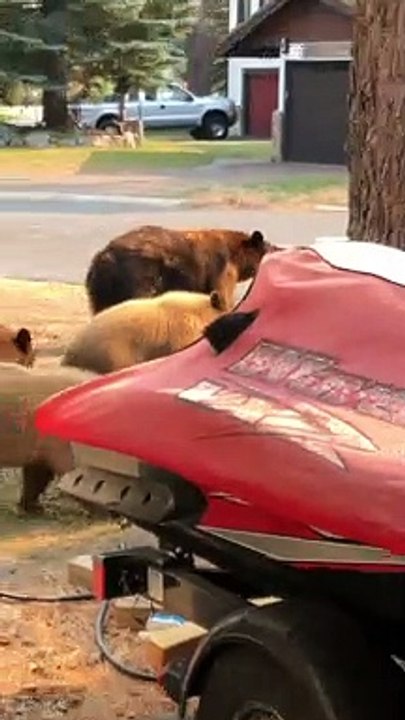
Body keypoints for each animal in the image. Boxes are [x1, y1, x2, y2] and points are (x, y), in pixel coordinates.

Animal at [85, 225, 269, 314]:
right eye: (270, 248)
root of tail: (102, 257)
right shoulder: (221, 267)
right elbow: (223, 295)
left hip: (102, 288)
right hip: (139, 275)